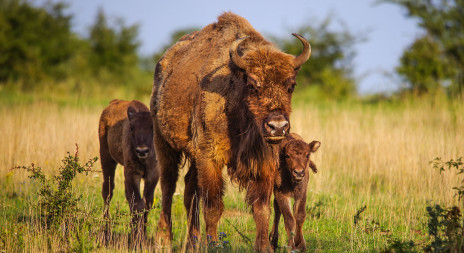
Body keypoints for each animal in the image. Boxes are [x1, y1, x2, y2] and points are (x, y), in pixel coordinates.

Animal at [98, 100, 160, 244]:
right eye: (132, 128)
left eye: (152, 127)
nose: (142, 150)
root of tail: (113, 102)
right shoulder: (132, 175)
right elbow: (137, 203)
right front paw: (137, 238)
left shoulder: (153, 176)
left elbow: (147, 202)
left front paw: (142, 234)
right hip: (107, 158)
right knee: (107, 191)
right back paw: (106, 229)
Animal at [150, 11, 310, 251]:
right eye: (253, 85)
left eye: (291, 85)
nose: (277, 126)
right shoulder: (210, 158)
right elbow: (213, 206)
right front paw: (213, 244)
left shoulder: (263, 163)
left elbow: (261, 208)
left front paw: (264, 247)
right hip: (164, 143)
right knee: (168, 188)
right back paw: (163, 240)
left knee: (189, 191)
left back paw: (192, 243)